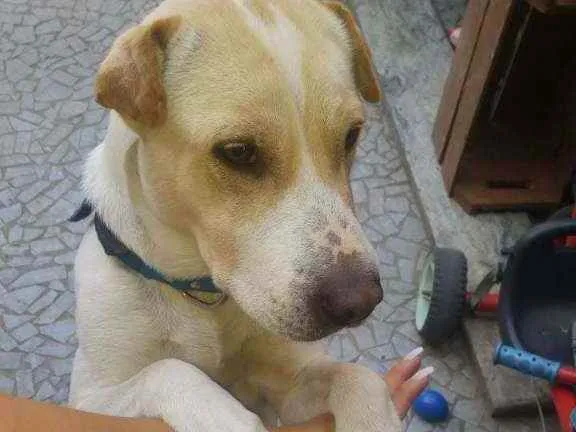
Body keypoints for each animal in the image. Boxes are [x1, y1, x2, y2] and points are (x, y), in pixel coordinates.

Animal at [69, 0, 403, 430]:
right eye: (239, 151)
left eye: (351, 136)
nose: (359, 302)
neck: (203, 295)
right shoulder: (91, 397)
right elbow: (168, 370)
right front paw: (225, 417)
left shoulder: (287, 386)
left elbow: (356, 378)